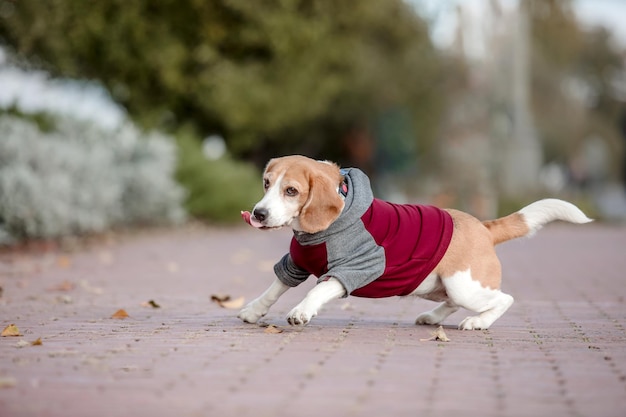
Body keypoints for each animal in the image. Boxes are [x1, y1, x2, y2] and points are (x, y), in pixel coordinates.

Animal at [236, 154, 588, 330]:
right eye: (266, 183)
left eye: (291, 191)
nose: (258, 213)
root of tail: (483, 227)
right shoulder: (295, 263)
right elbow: (274, 288)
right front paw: (254, 311)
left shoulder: (357, 268)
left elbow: (318, 289)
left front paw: (302, 311)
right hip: (436, 286)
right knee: (452, 303)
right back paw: (433, 318)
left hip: (465, 286)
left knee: (504, 299)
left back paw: (478, 322)